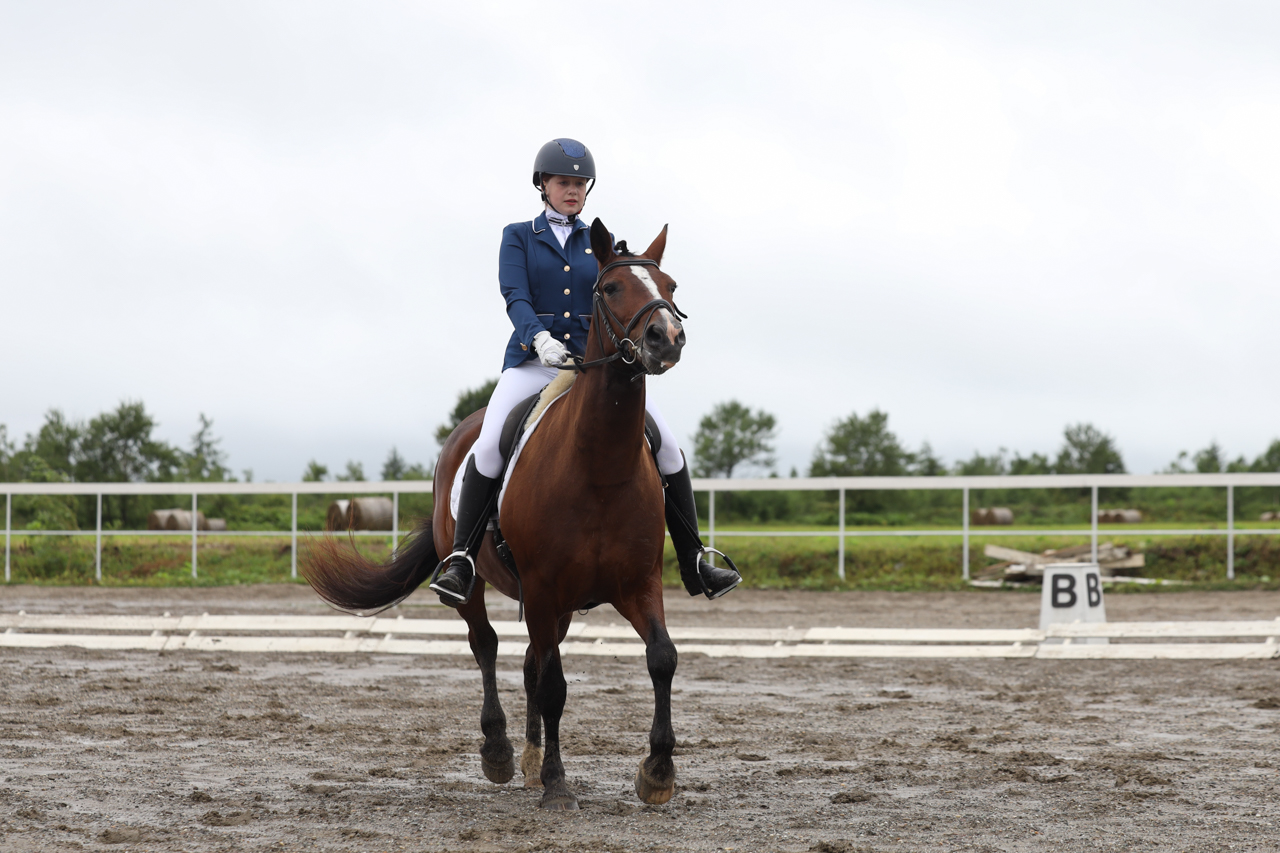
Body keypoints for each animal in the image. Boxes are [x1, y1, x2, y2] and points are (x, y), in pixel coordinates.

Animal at [302, 216, 691, 809]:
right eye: (609, 288)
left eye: (669, 286)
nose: (665, 339)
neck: (600, 466)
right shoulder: (546, 587)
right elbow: (553, 685)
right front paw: (557, 784)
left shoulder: (638, 582)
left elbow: (662, 658)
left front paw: (658, 772)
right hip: (483, 583)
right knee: (486, 645)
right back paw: (502, 753)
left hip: (556, 605)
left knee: (532, 659)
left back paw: (528, 760)